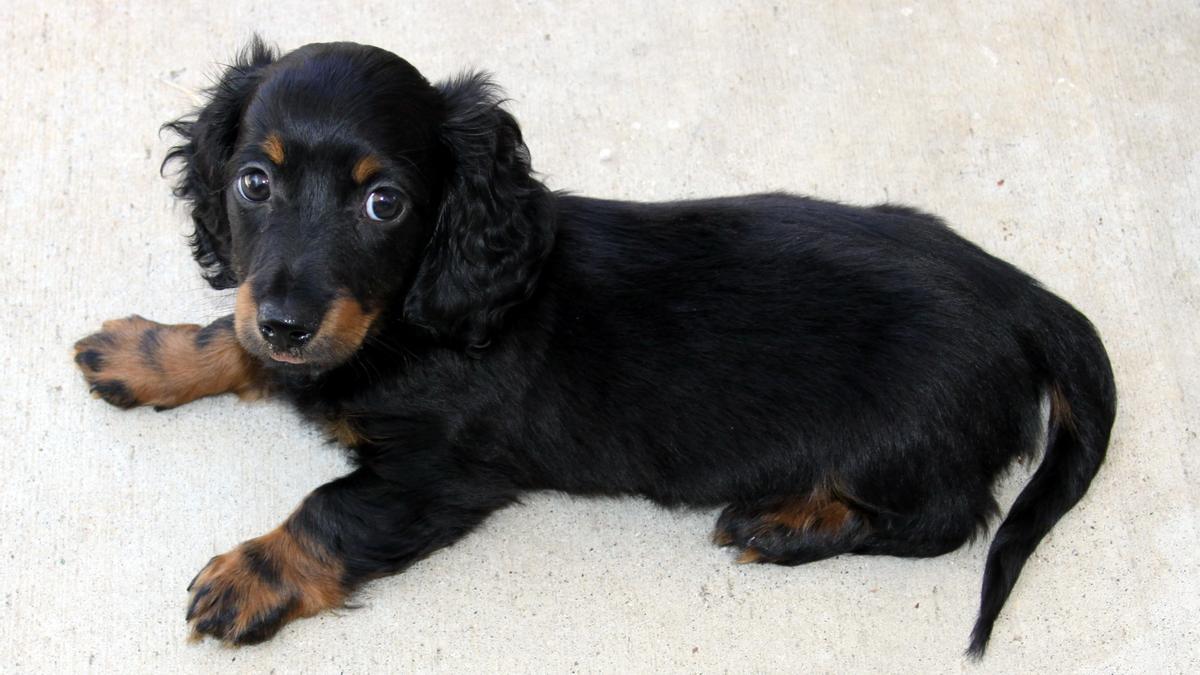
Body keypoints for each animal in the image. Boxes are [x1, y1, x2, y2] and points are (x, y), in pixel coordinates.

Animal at [72, 39, 1113, 653]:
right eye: (254, 182)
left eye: (384, 203)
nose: (288, 319)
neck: (413, 312)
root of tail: (1019, 295)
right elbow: (233, 336)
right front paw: (148, 353)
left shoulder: (438, 473)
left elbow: (329, 510)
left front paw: (249, 576)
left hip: (897, 444)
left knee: (950, 517)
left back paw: (786, 525)